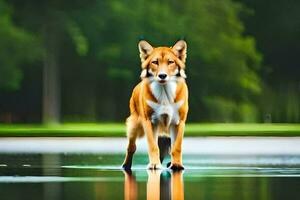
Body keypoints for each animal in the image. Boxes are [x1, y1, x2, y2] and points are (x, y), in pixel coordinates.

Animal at [121, 39, 188, 170]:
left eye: (170, 62)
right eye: (155, 62)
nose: (162, 75)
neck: (165, 92)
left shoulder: (179, 122)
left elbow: (177, 147)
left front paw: (177, 165)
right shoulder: (150, 121)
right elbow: (153, 146)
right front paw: (154, 165)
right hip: (134, 127)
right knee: (131, 147)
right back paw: (125, 166)